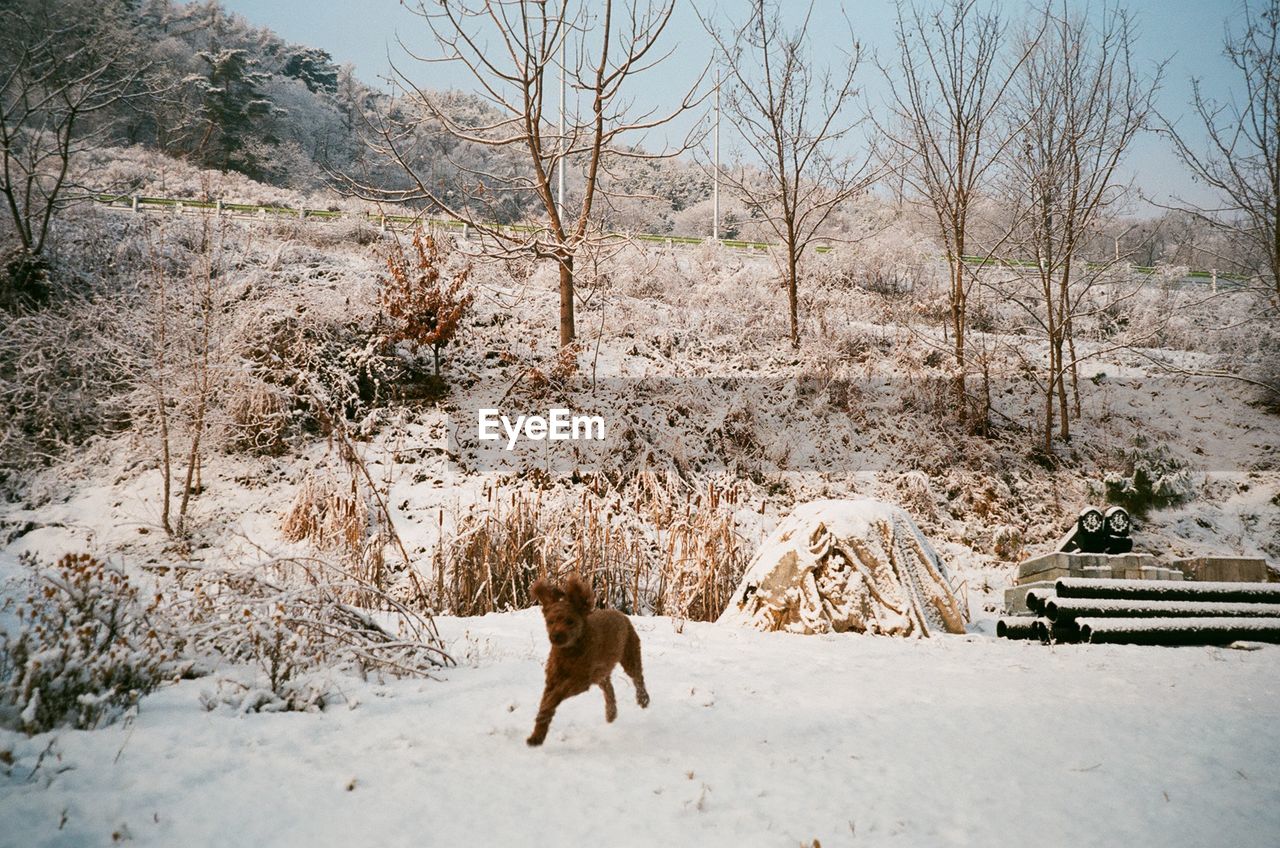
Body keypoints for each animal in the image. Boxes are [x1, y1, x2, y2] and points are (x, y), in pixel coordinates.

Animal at [524, 573, 650, 748]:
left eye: (570, 621)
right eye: (550, 621)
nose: (556, 637)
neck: (569, 651)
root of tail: (620, 613)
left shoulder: (580, 680)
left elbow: (555, 696)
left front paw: (545, 710)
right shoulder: (552, 679)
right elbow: (548, 701)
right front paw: (537, 736)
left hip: (629, 654)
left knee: (638, 677)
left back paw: (643, 699)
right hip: (600, 671)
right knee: (608, 687)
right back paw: (611, 713)